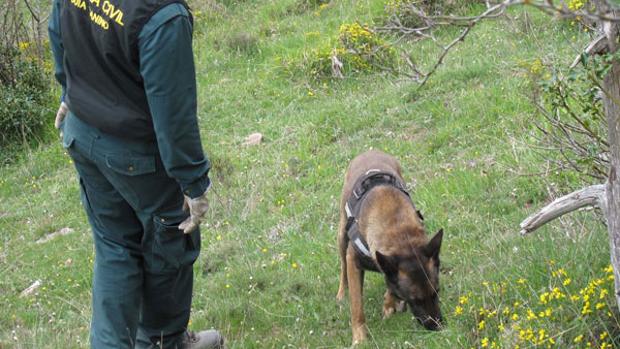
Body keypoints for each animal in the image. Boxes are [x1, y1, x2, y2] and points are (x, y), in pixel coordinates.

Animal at [336, 150, 444, 342]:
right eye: (415, 300)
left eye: (436, 292)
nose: (437, 327)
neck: (400, 233)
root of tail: (369, 151)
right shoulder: (354, 261)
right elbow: (356, 306)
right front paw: (360, 338)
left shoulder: (387, 261)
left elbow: (390, 284)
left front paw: (389, 303)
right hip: (342, 236)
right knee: (342, 266)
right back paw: (342, 292)